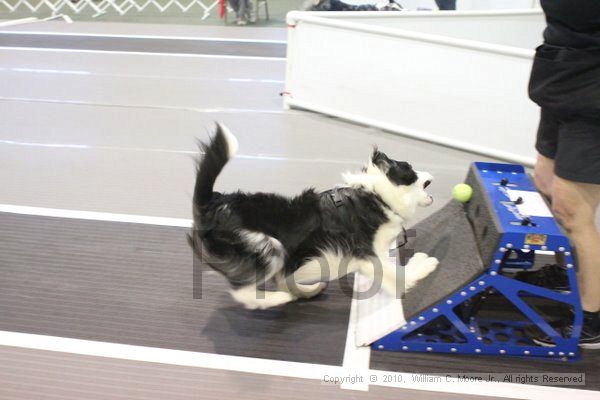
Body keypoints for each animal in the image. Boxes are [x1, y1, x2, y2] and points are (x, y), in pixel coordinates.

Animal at [190, 124, 438, 310]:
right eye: (410, 169)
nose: (431, 176)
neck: (377, 196)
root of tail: (211, 203)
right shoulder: (366, 255)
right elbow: (397, 276)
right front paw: (423, 265)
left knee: (282, 280)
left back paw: (307, 291)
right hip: (266, 247)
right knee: (244, 292)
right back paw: (279, 299)